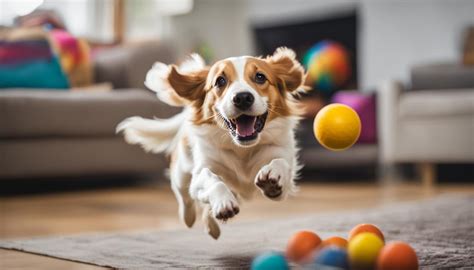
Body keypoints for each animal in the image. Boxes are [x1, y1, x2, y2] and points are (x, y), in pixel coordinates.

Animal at [117, 47, 308, 238]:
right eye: (220, 81)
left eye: (260, 77)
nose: (242, 97)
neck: (242, 149)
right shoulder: (201, 172)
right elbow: (212, 180)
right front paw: (223, 202)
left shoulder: (283, 164)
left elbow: (280, 162)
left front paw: (272, 179)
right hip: (181, 173)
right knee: (185, 197)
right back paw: (189, 217)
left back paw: (212, 226)